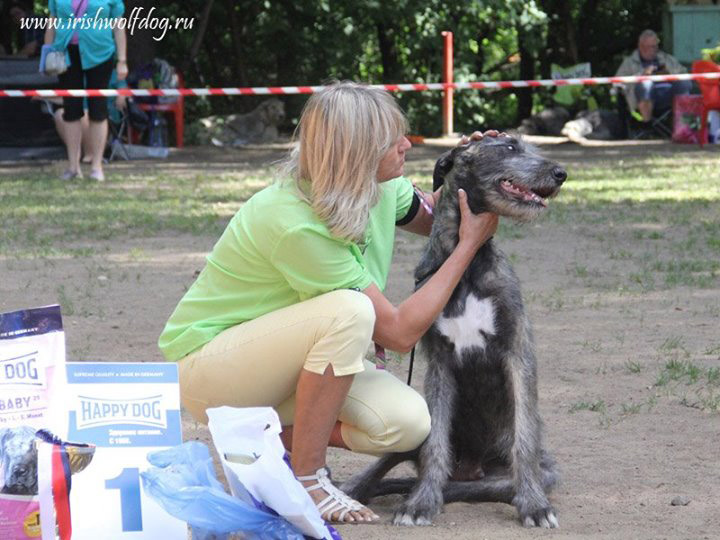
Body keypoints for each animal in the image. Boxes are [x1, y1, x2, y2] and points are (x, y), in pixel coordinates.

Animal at [344, 135, 568, 528]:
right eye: (510, 147)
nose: (561, 173)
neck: (467, 266)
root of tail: (470, 469)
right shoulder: (439, 361)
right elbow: (436, 446)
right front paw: (420, 503)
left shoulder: (517, 352)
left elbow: (524, 435)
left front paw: (534, 505)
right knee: (403, 459)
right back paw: (360, 489)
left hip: (529, 472)